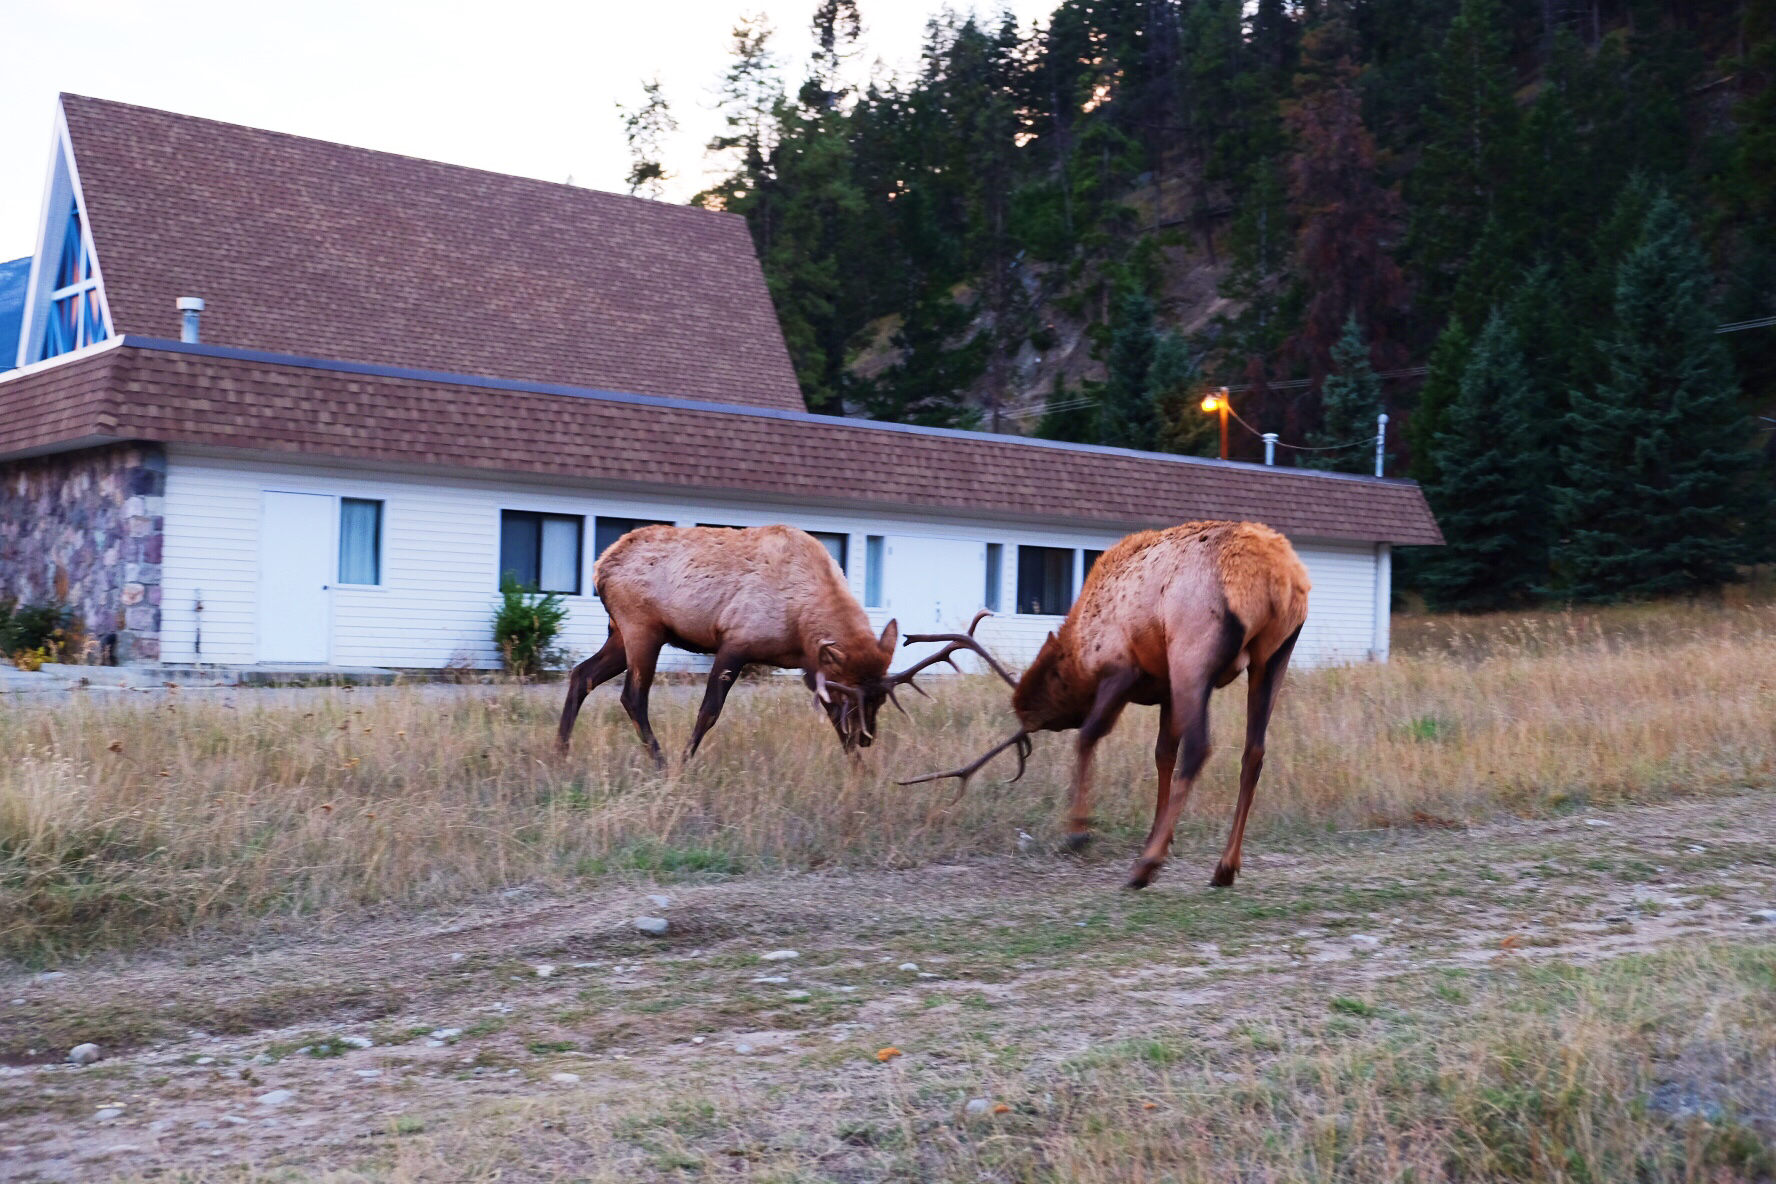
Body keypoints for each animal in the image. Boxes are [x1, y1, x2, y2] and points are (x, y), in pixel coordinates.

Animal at [554, 525, 1015, 763]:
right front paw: (686, 763)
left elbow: (832, 724)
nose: (868, 739)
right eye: (854, 697)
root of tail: (599, 567)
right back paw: (662, 761)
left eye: (881, 700)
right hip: (641, 627)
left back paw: (561, 754)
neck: (800, 619)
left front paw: (858, 771)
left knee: (581, 675)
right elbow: (708, 712)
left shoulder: (812, 664)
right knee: (632, 696)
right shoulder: (735, 642)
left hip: (619, 631)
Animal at [902, 525, 1307, 887]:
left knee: (1199, 747)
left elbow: (1088, 735)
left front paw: (1079, 831)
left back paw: (1145, 868)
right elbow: (1162, 754)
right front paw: (1161, 837)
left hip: (1193, 650)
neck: (1080, 648)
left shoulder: (1120, 668)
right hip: (1273, 656)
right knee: (1253, 752)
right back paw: (1225, 866)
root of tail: (1278, 580)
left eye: (1040, 702)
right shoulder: (1165, 687)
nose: (1026, 723)